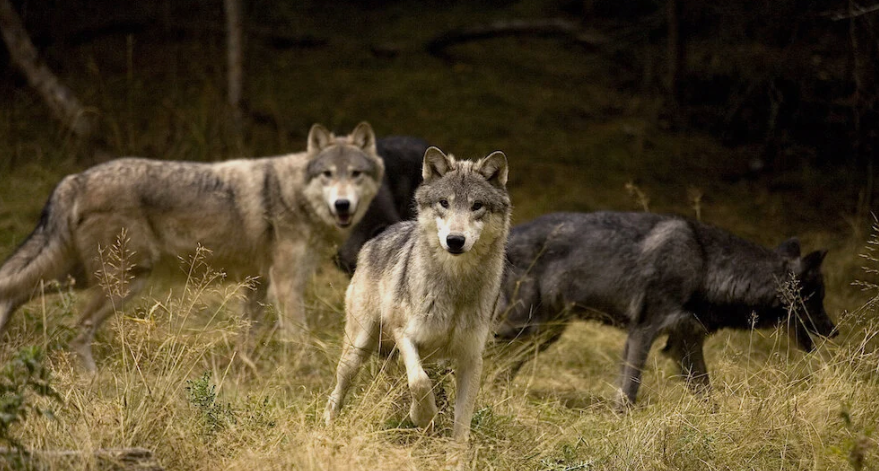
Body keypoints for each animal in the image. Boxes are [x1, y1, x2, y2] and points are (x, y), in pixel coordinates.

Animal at [0, 122, 384, 371]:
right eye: (328, 175)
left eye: (355, 174)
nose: (343, 205)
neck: (292, 195)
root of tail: (75, 178)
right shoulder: (286, 285)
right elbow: (298, 337)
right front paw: (305, 373)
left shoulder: (258, 284)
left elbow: (247, 336)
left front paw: (244, 373)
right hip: (121, 282)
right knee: (77, 328)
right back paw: (93, 380)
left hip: (82, 277)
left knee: (17, 291)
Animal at [493, 211, 836, 407]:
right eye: (815, 299)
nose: (835, 330)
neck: (706, 267)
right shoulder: (642, 333)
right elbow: (629, 392)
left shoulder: (684, 345)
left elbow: (708, 398)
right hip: (519, 327)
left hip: (542, 336)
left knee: (501, 369)